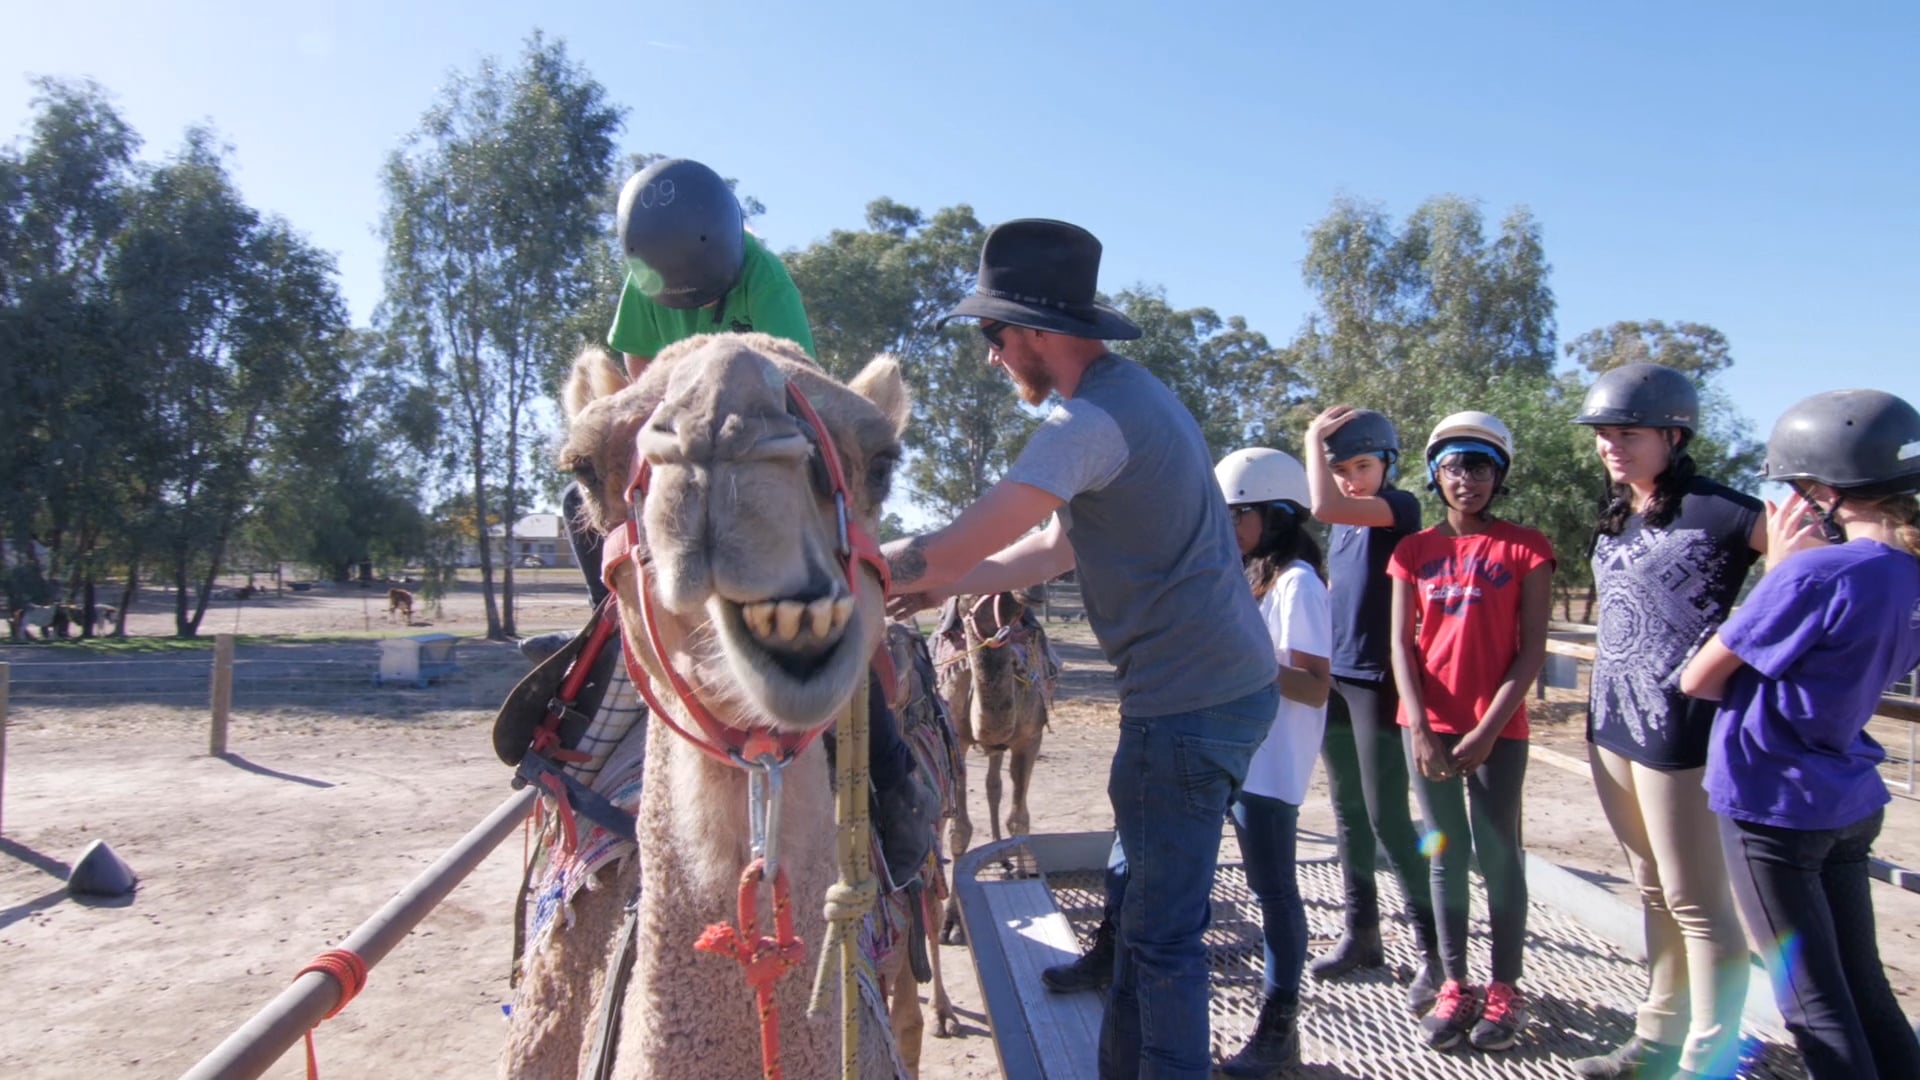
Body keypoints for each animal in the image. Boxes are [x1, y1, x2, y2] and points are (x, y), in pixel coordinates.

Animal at [929, 584, 1052, 937]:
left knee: (994, 785)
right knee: (988, 787)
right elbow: (960, 832)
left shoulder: (1030, 739)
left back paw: (1006, 861)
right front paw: (952, 923)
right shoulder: (957, 740)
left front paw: (1025, 875)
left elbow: (1019, 820)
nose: (1034, 590)